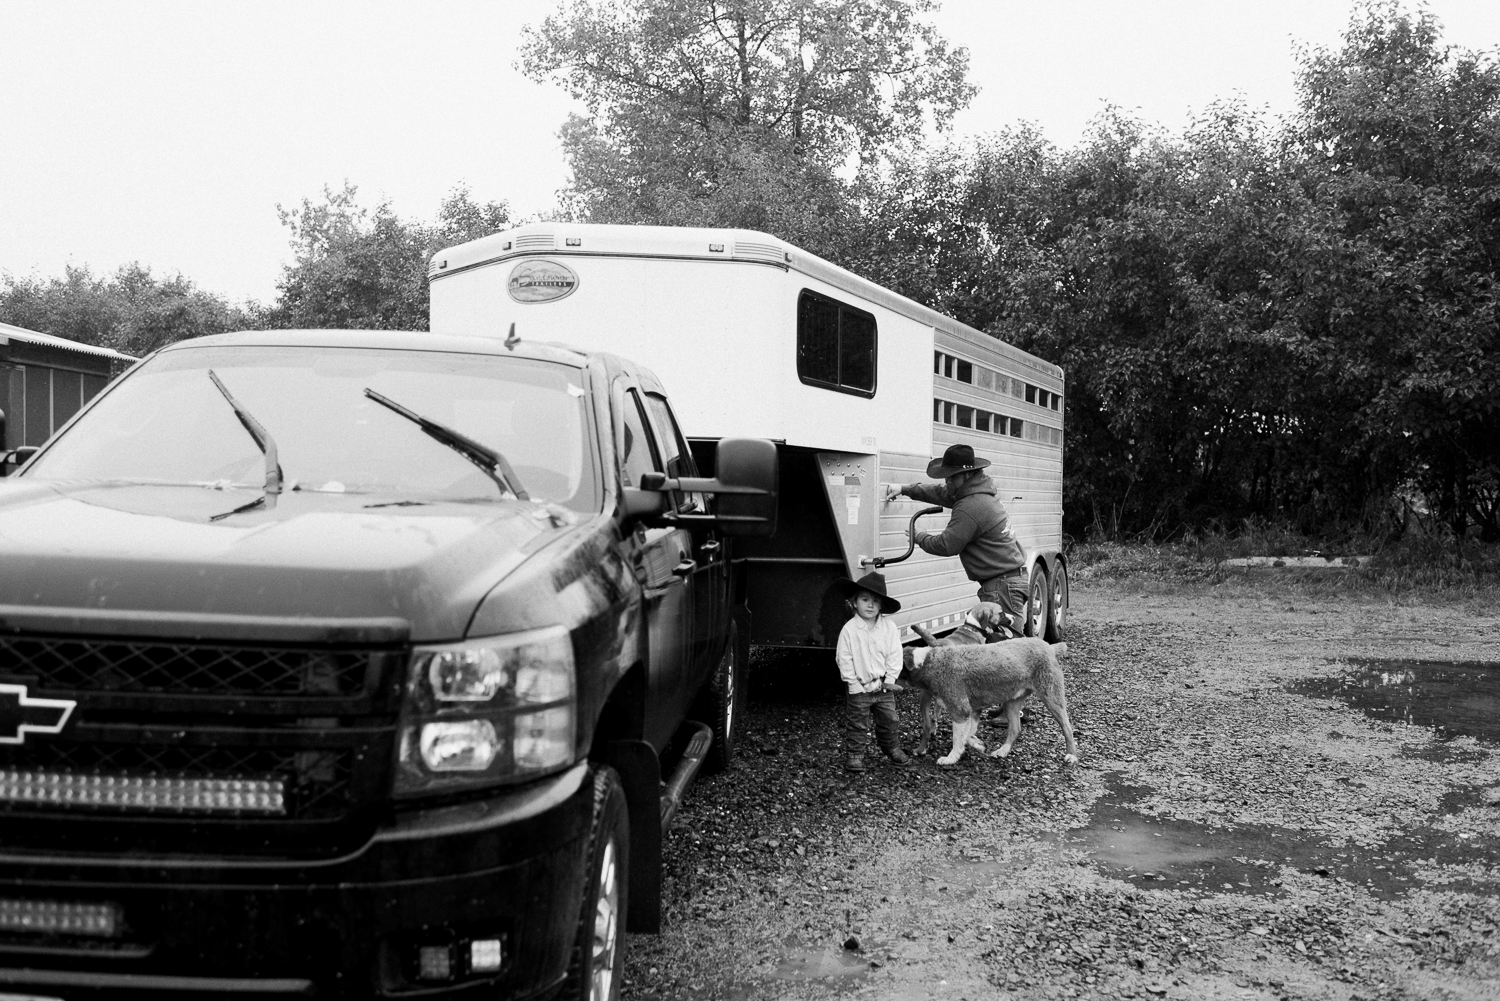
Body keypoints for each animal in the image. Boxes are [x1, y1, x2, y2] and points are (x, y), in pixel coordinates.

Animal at [900, 627, 1080, 768]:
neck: (929, 661)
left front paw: (951, 758)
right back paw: (1002, 751)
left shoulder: (961, 710)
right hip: (1012, 701)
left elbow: (958, 738)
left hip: (1051, 696)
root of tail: (1049, 646)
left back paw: (1071, 755)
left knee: (1067, 727)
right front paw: (979, 745)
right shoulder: (973, 710)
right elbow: (967, 735)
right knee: (1015, 728)